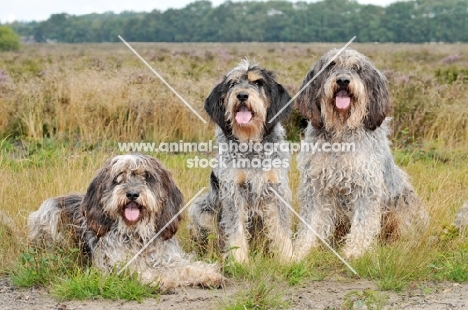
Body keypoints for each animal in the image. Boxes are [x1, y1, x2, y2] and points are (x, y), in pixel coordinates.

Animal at [28, 154, 224, 290]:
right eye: (119, 178)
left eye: (147, 176)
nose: (132, 194)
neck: (136, 234)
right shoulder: (113, 264)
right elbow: (138, 269)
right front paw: (159, 278)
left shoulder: (169, 257)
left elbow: (185, 266)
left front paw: (207, 274)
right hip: (48, 217)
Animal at [187, 59, 290, 262]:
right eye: (232, 84)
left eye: (258, 83)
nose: (242, 95)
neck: (250, 144)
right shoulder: (233, 192)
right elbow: (236, 230)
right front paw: (239, 260)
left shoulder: (276, 189)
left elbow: (281, 229)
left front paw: (288, 258)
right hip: (201, 210)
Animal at [294, 49, 430, 260]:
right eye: (331, 65)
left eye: (356, 68)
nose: (342, 81)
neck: (340, 134)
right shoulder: (315, 187)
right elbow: (311, 223)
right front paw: (302, 250)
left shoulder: (366, 186)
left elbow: (363, 223)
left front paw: (354, 251)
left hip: (403, 203)